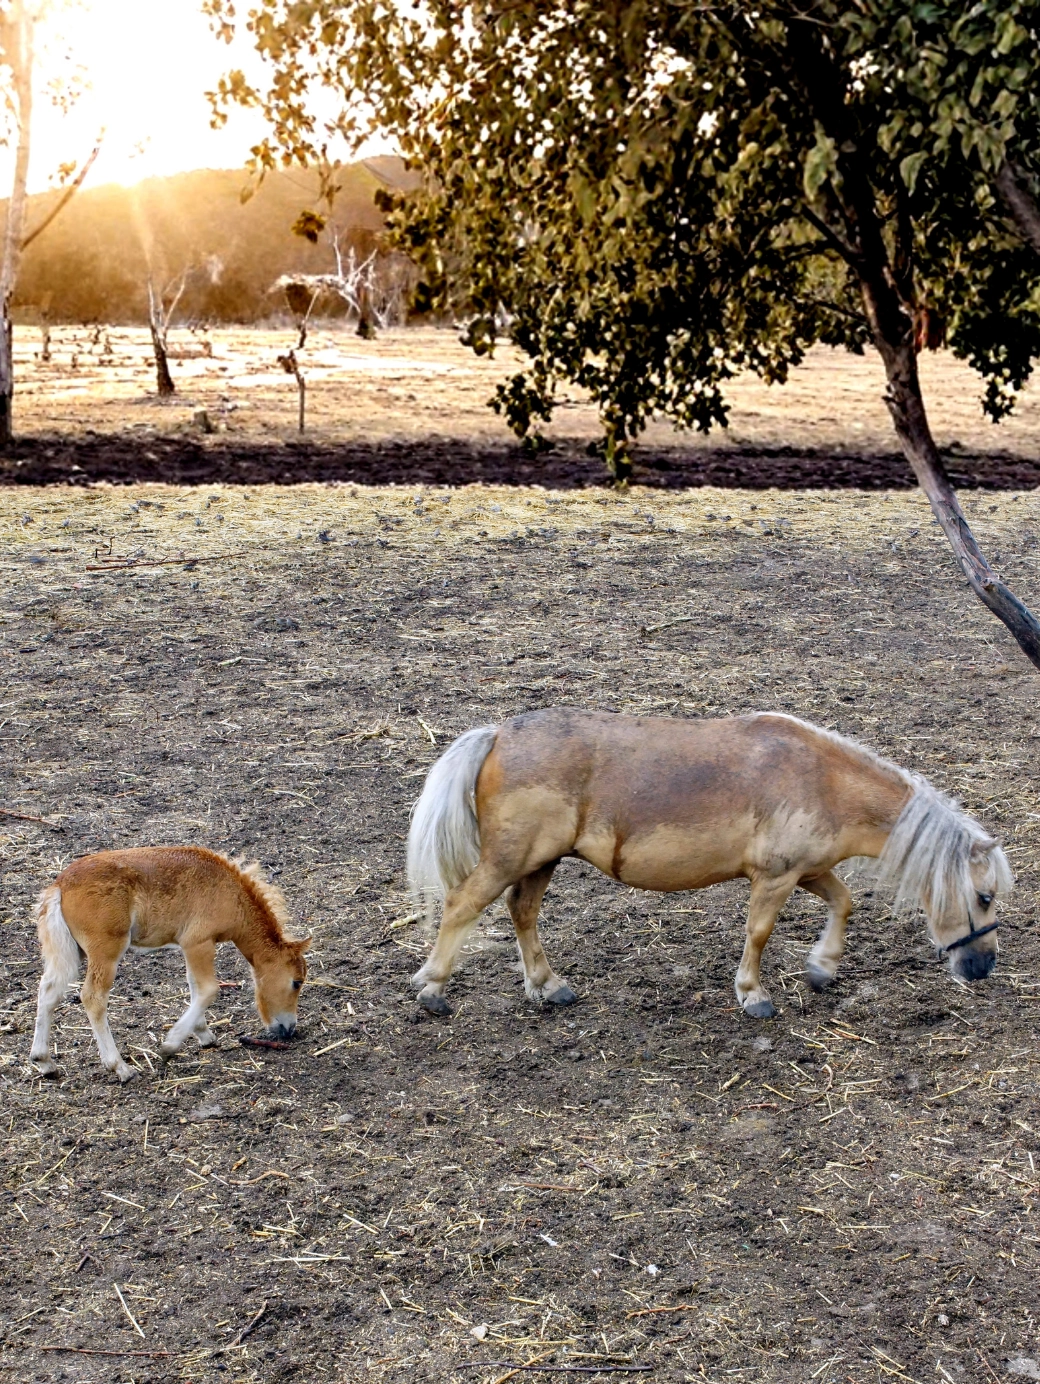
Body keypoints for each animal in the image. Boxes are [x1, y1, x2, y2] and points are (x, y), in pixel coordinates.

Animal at [30, 846, 310, 1083]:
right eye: (296, 982)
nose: (289, 1029)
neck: (231, 893)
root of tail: (59, 886)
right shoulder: (199, 942)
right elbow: (208, 989)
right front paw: (170, 1045)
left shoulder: (189, 947)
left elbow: (195, 987)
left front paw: (204, 1035)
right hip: (106, 951)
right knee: (93, 997)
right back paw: (120, 1067)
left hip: (70, 952)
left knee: (48, 990)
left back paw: (44, 1061)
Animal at [407, 708, 1012, 1019]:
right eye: (983, 896)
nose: (981, 967)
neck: (823, 780)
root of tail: (499, 734)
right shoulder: (776, 878)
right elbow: (759, 933)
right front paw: (753, 994)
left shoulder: (810, 872)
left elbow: (844, 903)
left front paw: (822, 967)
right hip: (511, 858)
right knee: (462, 904)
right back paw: (433, 988)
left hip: (540, 861)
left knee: (522, 912)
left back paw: (548, 985)